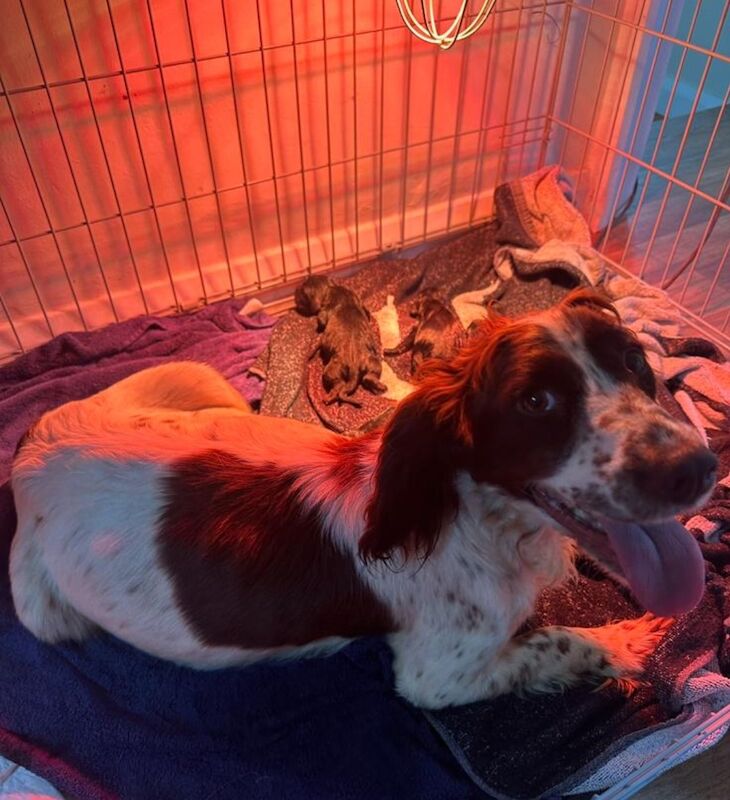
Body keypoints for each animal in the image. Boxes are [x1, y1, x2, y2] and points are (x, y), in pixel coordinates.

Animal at [9, 290, 716, 708]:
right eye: (535, 402)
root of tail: (32, 452)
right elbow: (561, 641)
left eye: (634, 360)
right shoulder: (439, 674)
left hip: (203, 383)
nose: (698, 469)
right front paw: (629, 641)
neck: (474, 514)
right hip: (42, 612)